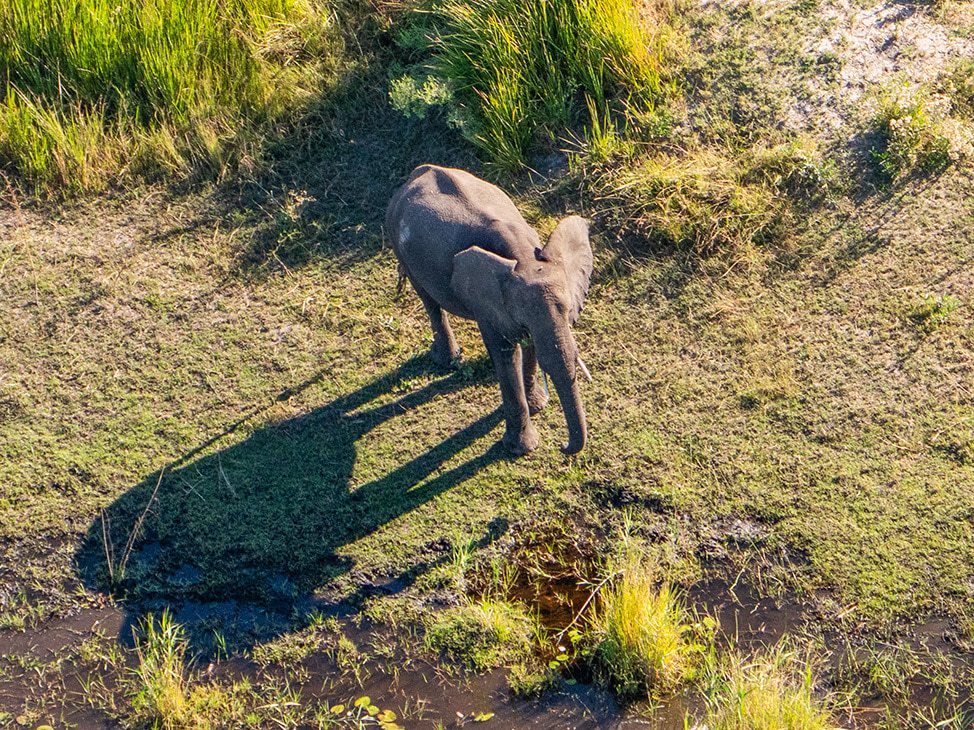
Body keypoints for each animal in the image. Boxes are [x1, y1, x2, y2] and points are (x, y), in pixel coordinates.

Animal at [385, 164, 593, 456]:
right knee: (429, 301)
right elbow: (506, 355)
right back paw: (447, 360)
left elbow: (531, 345)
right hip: (398, 240)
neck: (523, 257)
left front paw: (537, 406)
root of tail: (418, 172)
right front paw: (520, 449)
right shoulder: (487, 302)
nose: (562, 447)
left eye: (566, 311)